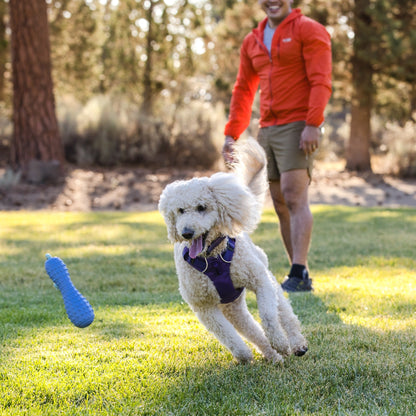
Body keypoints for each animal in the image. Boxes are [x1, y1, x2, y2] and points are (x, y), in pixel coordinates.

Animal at [159, 137, 308, 364]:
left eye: (201, 207)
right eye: (180, 211)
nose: (186, 233)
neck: (212, 257)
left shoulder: (260, 281)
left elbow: (268, 316)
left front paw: (280, 342)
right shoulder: (204, 307)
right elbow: (227, 335)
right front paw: (245, 355)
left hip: (265, 276)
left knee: (284, 312)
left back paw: (295, 343)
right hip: (233, 306)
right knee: (250, 328)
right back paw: (272, 356)